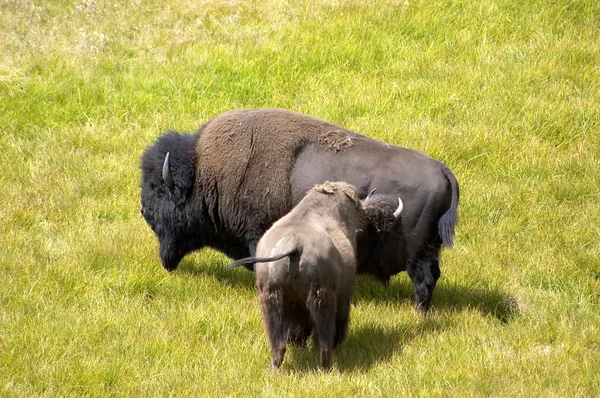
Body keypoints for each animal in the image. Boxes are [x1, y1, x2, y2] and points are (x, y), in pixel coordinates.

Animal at [141, 108, 460, 310]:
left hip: (416, 255)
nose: (143, 210)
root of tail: (443, 172)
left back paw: (418, 313)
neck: (205, 172)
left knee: (423, 280)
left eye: (159, 189)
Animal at [227, 181, 406, 370]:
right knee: (324, 340)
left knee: (279, 344)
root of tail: (295, 244)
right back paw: (327, 366)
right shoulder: (344, 296)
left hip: (271, 299)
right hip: (322, 297)